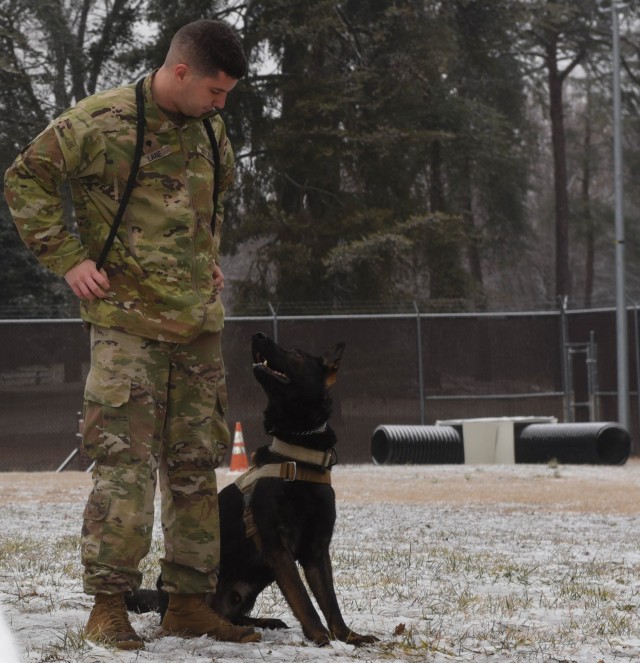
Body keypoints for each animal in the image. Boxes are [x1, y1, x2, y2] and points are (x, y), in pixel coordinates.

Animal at [131, 332, 380, 648]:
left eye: (296, 354)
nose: (258, 335)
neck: (297, 458)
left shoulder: (317, 551)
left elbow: (329, 601)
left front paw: (348, 636)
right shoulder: (277, 547)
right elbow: (303, 598)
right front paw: (320, 637)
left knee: (234, 615)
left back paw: (263, 622)